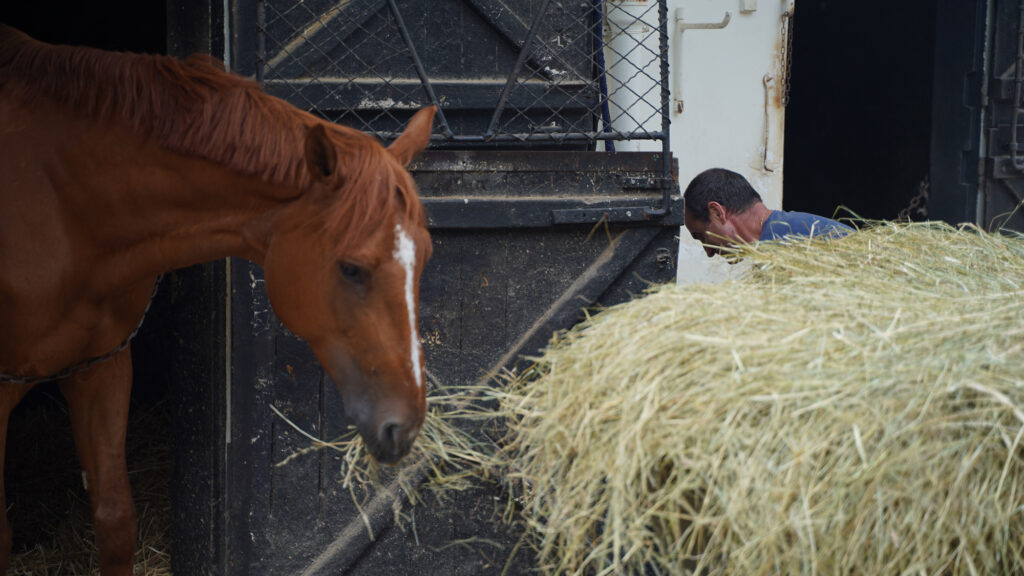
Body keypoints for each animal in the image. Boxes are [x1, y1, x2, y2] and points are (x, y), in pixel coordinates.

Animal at [1, 24, 432, 569]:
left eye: (425, 256)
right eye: (351, 268)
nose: (405, 426)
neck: (60, 202)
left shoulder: (101, 367)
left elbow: (116, 522)